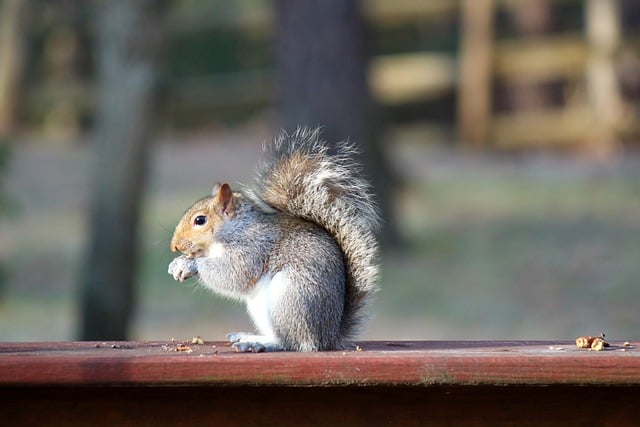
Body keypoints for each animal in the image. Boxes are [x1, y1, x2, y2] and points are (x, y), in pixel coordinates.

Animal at [169, 128, 380, 354]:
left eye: (200, 220)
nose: (174, 246)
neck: (234, 229)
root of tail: (329, 337)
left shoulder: (253, 247)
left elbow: (233, 274)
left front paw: (189, 265)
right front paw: (176, 263)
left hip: (291, 298)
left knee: (295, 342)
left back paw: (260, 343)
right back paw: (252, 337)